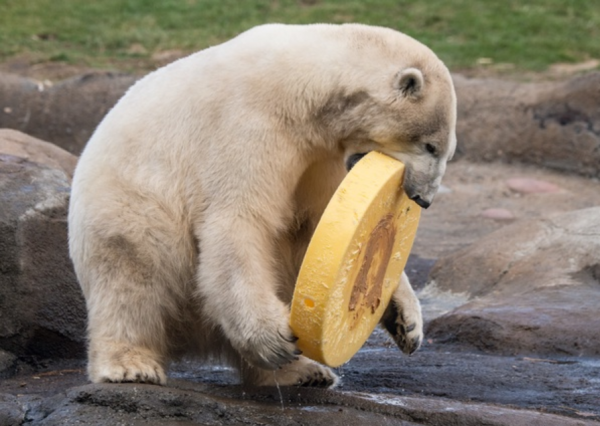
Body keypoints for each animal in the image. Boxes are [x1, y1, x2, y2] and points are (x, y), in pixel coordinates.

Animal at [68, 24, 454, 390]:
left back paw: (304, 372)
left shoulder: (319, 155)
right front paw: (274, 337)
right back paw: (131, 365)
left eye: (447, 151)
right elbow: (239, 220)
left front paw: (408, 322)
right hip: (130, 207)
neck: (301, 84)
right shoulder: (249, 126)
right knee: (132, 276)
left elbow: (320, 224)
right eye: (430, 146)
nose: (424, 199)